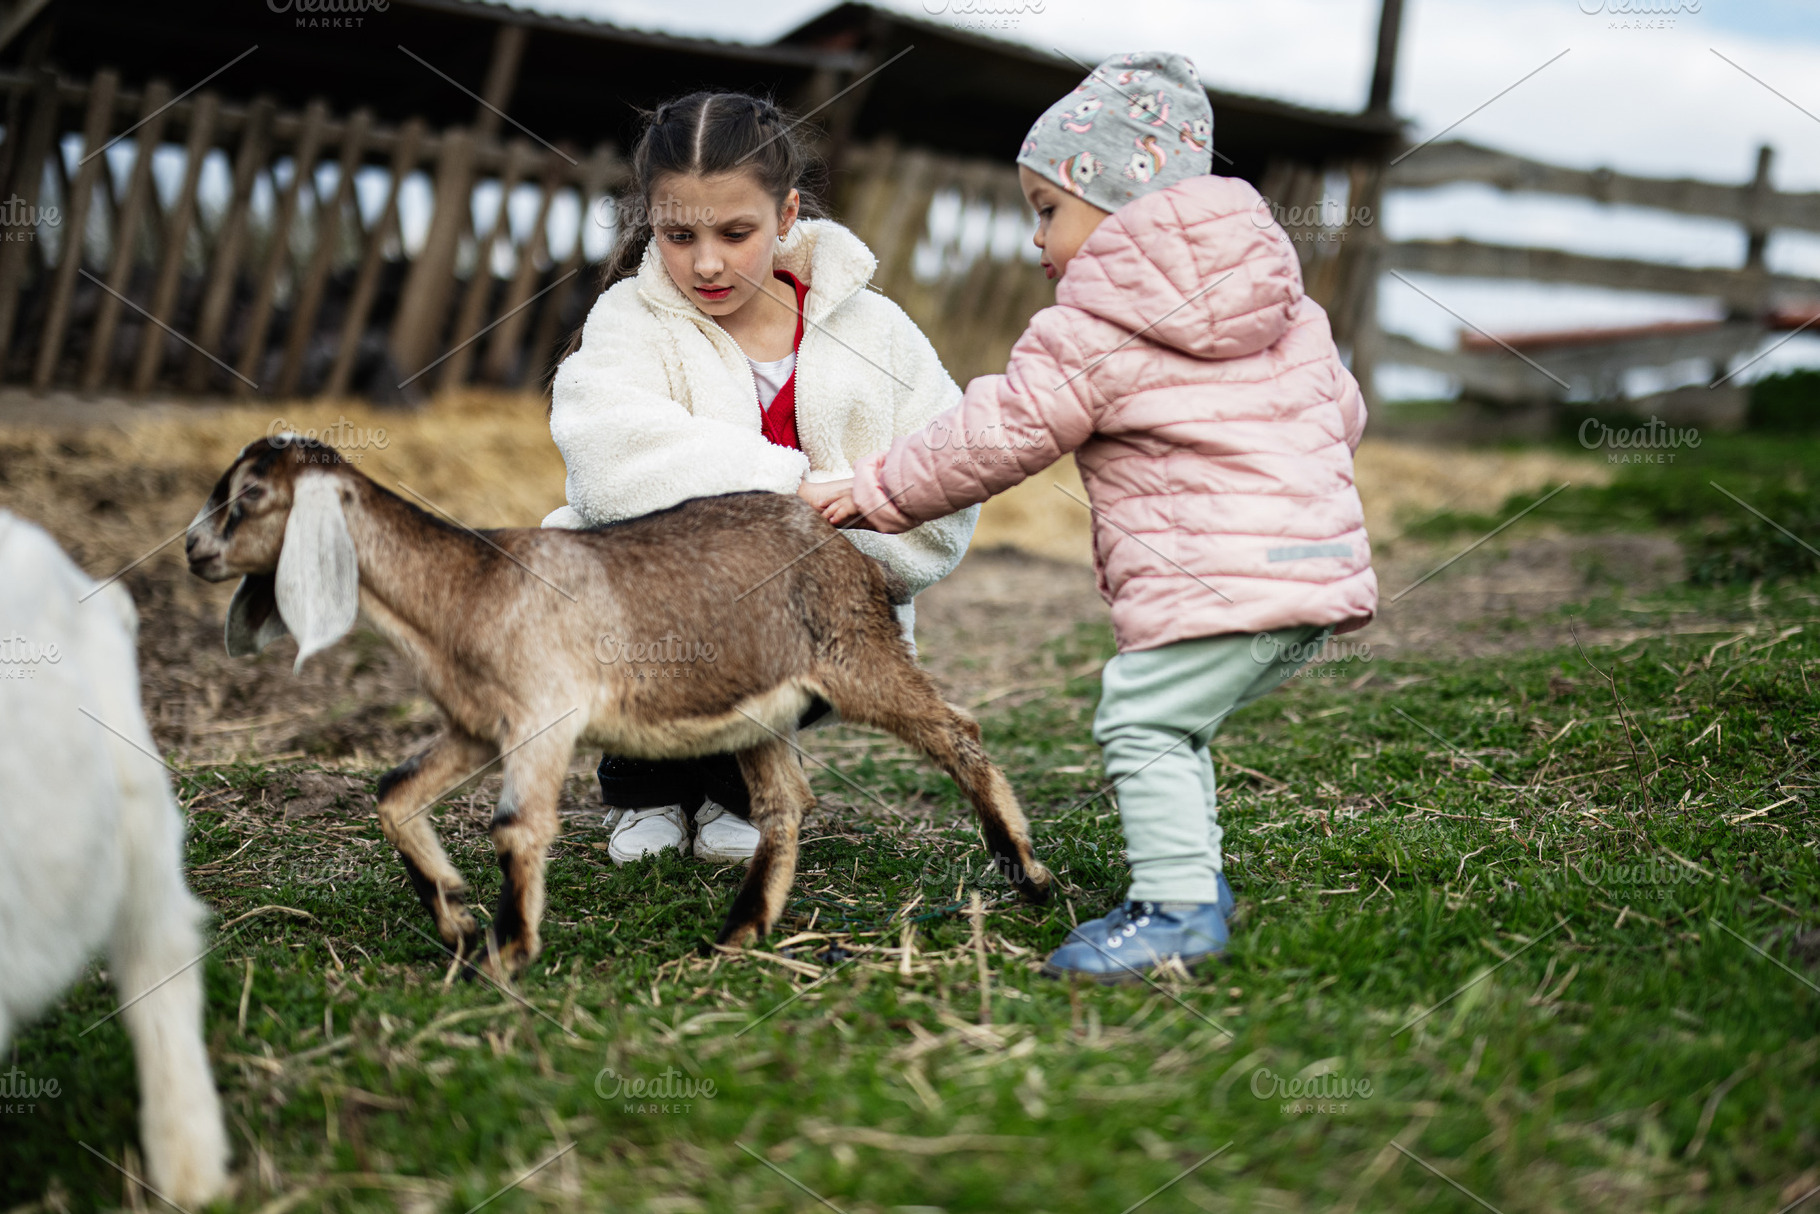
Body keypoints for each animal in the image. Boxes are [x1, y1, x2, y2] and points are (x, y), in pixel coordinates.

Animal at [185, 436, 1051, 978]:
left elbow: (515, 827)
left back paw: (1029, 872)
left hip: (855, 653)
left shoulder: (545, 714)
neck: (466, 590)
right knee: (784, 802)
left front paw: (503, 955)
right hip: (760, 703)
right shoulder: (479, 725)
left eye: (250, 496)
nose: (192, 551)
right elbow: (394, 793)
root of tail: (837, 537)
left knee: (957, 733)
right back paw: (741, 932)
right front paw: (457, 919)